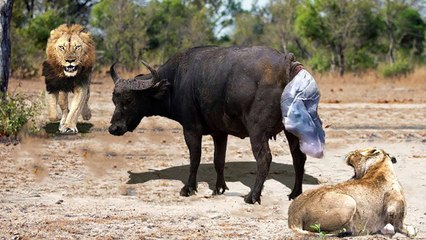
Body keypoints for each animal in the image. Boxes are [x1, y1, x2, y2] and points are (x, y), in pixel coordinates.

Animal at [109, 46, 306, 203]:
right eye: (114, 100)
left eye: (129, 100)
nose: (113, 128)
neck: (176, 81)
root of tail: (286, 63)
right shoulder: (220, 133)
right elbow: (219, 160)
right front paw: (219, 188)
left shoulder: (191, 129)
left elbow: (194, 158)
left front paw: (188, 188)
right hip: (292, 130)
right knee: (298, 158)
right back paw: (295, 193)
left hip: (258, 131)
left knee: (265, 158)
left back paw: (252, 196)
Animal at [286, 147, 416, 237]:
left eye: (356, 153)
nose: (349, 154)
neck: (378, 169)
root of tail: (293, 216)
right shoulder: (396, 206)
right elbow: (402, 226)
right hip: (349, 202)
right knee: (321, 231)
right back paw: (348, 231)